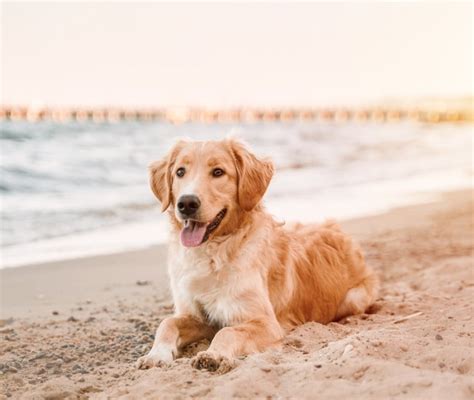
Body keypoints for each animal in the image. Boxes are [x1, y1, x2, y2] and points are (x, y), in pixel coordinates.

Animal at [136, 139, 378, 374]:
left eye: (218, 172)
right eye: (180, 172)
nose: (186, 203)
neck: (212, 253)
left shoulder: (266, 323)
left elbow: (227, 333)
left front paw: (213, 355)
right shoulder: (199, 316)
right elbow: (167, 323)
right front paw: (155, 355)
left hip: (353, 298)